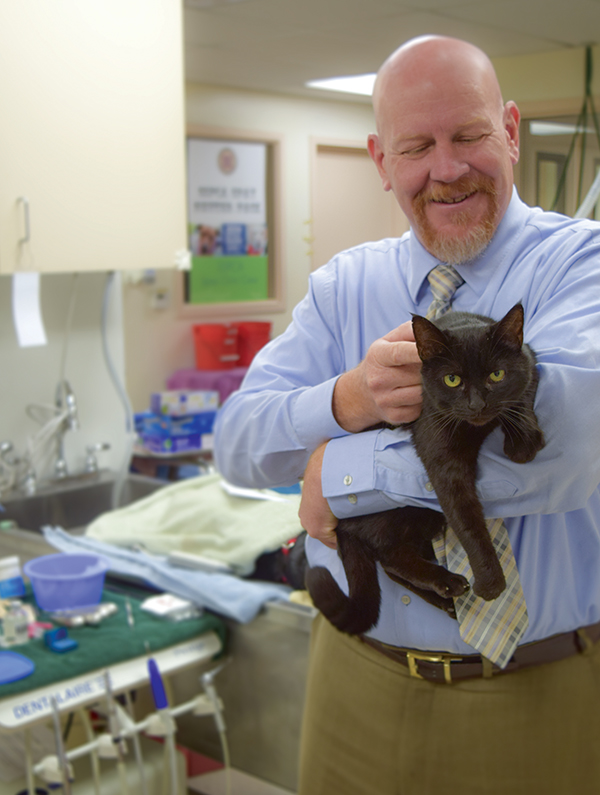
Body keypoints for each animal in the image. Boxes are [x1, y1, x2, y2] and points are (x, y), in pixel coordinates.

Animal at [308, 304, 548, 636]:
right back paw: (447, 583)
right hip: (406, 512)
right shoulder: (441, 455)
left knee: (393, 563)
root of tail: (342, 525)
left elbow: (523, 394)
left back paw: (446, 600)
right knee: (391, 557)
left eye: (497, 374)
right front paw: (490, 581)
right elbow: (466, 520)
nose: (477, 405)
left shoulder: (530, 359)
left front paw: (523, 439)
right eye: (452, 379)